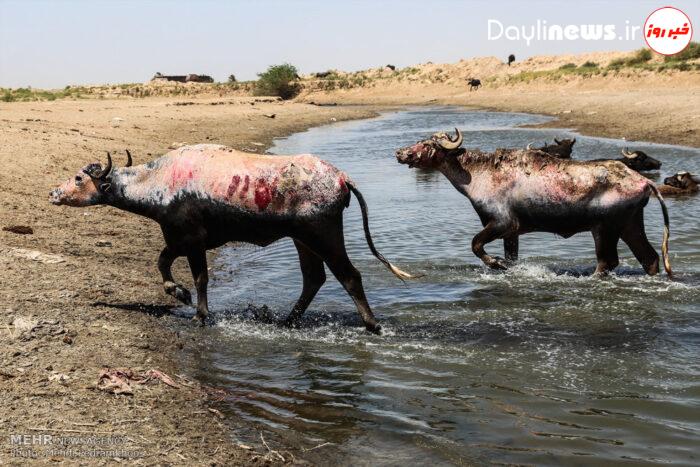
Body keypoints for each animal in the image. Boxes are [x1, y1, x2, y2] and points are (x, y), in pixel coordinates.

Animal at [50, 144, 416, 332]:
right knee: (314, 278)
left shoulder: (192, 241)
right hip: (303, 240)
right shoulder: (177, 240)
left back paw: (372, 325)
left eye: (79, 178)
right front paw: (177, 292)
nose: (54, 192)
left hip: (322, 235)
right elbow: (162, 262)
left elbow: (199, 278)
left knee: (349, 276)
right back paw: (286, 321)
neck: (159, 181)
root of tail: (340, 178)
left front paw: (199, 312)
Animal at [396, 130, 668, 278]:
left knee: (608, 262)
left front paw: (496, 263)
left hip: (604, 228)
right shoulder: (511, 232)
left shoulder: (502, 223)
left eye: (429, 144)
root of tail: (644, 181)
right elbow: (511, 257)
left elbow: (475, 245)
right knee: (650, 258)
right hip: (630, 224)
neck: (476, 174)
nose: (401, 153)